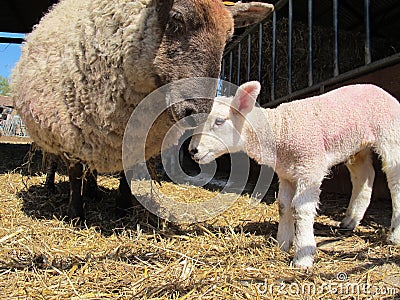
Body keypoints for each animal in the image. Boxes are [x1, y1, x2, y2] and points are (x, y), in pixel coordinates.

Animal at [10, 0, 274, 220]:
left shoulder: (135, 136)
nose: (197, 112)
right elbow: (74, 173)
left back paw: (94, 191)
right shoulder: (69, 130)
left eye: (228, 38)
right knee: (56, 160)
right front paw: (75, 213)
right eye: (176, 19)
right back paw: (51, 185)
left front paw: (123, 207)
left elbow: (128, 172)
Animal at [189, 81, 400, 268]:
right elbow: (283, 206)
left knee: (395, 180)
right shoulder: (286, 174)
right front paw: (282, 243)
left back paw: (394, 235)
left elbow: (301, 208)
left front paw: (303, 256)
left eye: (219, 121)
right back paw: (350, 220)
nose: (192, 150)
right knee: (363, 176)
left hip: (390, 135)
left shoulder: (310, 168)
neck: (279, 130)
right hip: (358, 147)